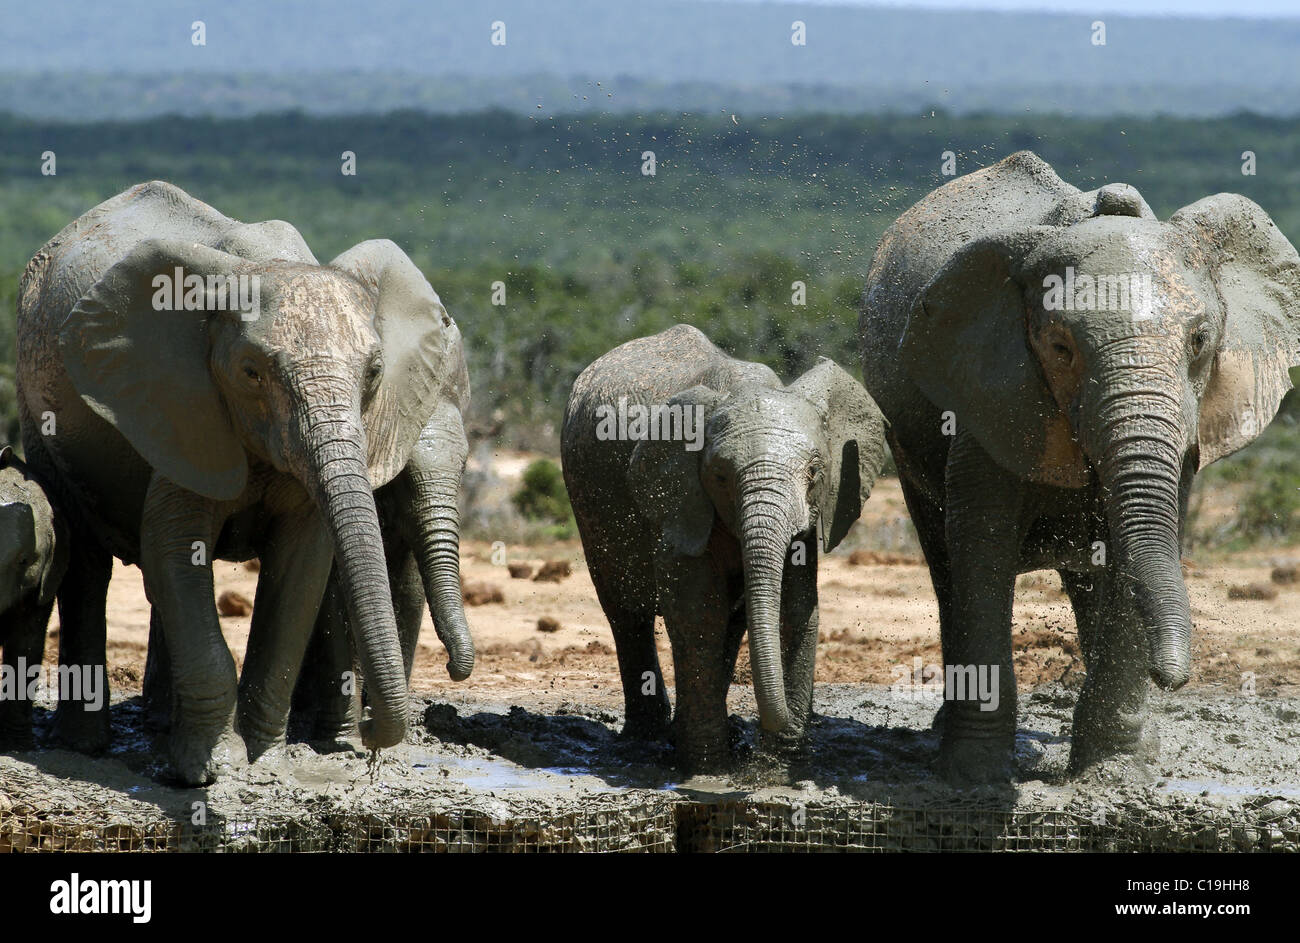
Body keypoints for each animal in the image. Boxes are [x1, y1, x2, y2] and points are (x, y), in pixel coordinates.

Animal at [17, 180, 465, 785]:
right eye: (252, 373)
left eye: (373, 373)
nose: (371, 744)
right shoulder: (182, 405)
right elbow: (174, 542)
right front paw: (206, 770)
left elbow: (301, 567)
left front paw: (266, 762)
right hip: (38, 409)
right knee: (87, 561)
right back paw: (87, 746)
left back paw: (159, 726)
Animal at [564, 325, 889, 770]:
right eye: (720, 476)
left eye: (814, 471)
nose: (787, 729)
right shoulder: (681, 499)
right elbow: (698, 609)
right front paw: (707, 765)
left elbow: (796, 606)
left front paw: (778, 764)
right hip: (587, 502)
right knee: (626, 612)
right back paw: (647, 738)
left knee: (732, 620)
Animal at [863, 150, 1300, 785]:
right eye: (1060, 347)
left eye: (1200, 340)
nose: (1175, 678)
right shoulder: (986, 395)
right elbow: (981, 548)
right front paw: (973, 776)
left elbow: (1133, 549)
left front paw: (1115, 774)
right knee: (943, 562)